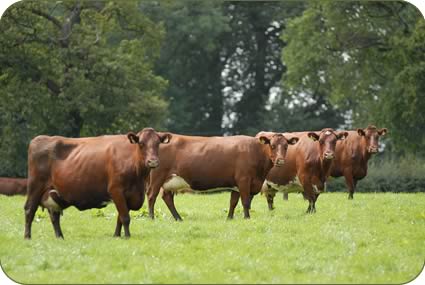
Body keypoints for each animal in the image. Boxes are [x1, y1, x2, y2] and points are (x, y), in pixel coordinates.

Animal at [23, 127, 171, 239]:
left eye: (158, 144)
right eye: (141, 144)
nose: (153, 161)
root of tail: (40, 138)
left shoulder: (130, 195)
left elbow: (119, 217)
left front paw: (117, 235)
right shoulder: (116, 190)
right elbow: (125, 217)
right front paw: (128, 236)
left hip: (53, 193)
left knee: (54, 214)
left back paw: (60, 237)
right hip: (35, 186)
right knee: (30, 209)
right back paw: (27, 237)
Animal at [146, 133, 298, 220]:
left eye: (286, 146)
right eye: (272, 145)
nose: (280, 160)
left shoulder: (237, 185)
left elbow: (233, 202)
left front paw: (229, 218)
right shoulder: (244, 180)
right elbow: (245, 202)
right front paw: (247, 218)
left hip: (170, 182)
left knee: (167, 198)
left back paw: (178, 218)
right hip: (157, 177)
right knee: (152, 196)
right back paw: (152, 218)